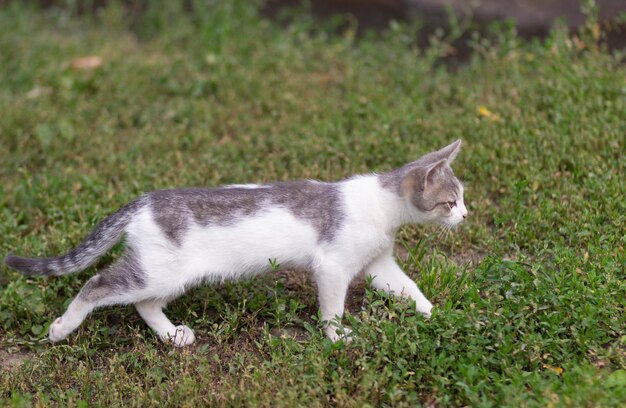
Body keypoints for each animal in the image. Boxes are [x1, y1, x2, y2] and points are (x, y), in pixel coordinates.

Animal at [3, 139, 464, 344]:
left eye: (461, 198)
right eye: (450, 200)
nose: (466, 216)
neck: (383, 207)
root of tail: (144, 201)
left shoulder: (377, 262)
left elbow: (408, 289)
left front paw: (436, 314)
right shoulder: (333, 266)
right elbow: (332, 309)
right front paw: (337, 337)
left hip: (168, 275)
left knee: (144, 304)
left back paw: (172, 336)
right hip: (157, 271)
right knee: (97, 284)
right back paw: (61, 328)